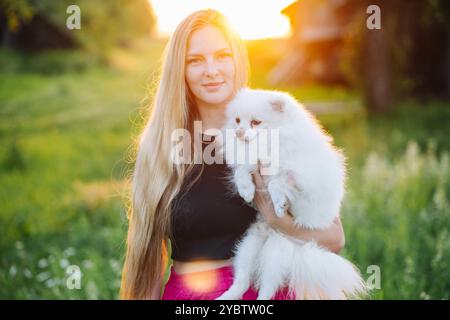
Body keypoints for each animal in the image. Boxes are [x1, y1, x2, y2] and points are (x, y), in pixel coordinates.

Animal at [216, 87, 368, 300]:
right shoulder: (252, 163)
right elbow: (243, 170)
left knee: (268, 287)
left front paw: (280, 204)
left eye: (256, 122)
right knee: (243, 280)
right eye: (237, 120)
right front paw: (246, 190)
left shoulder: (301, 175)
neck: (271, 142)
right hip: (249, 245)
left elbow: (278, 181)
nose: (238, 131)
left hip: (277, 251)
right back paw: (227, 296)